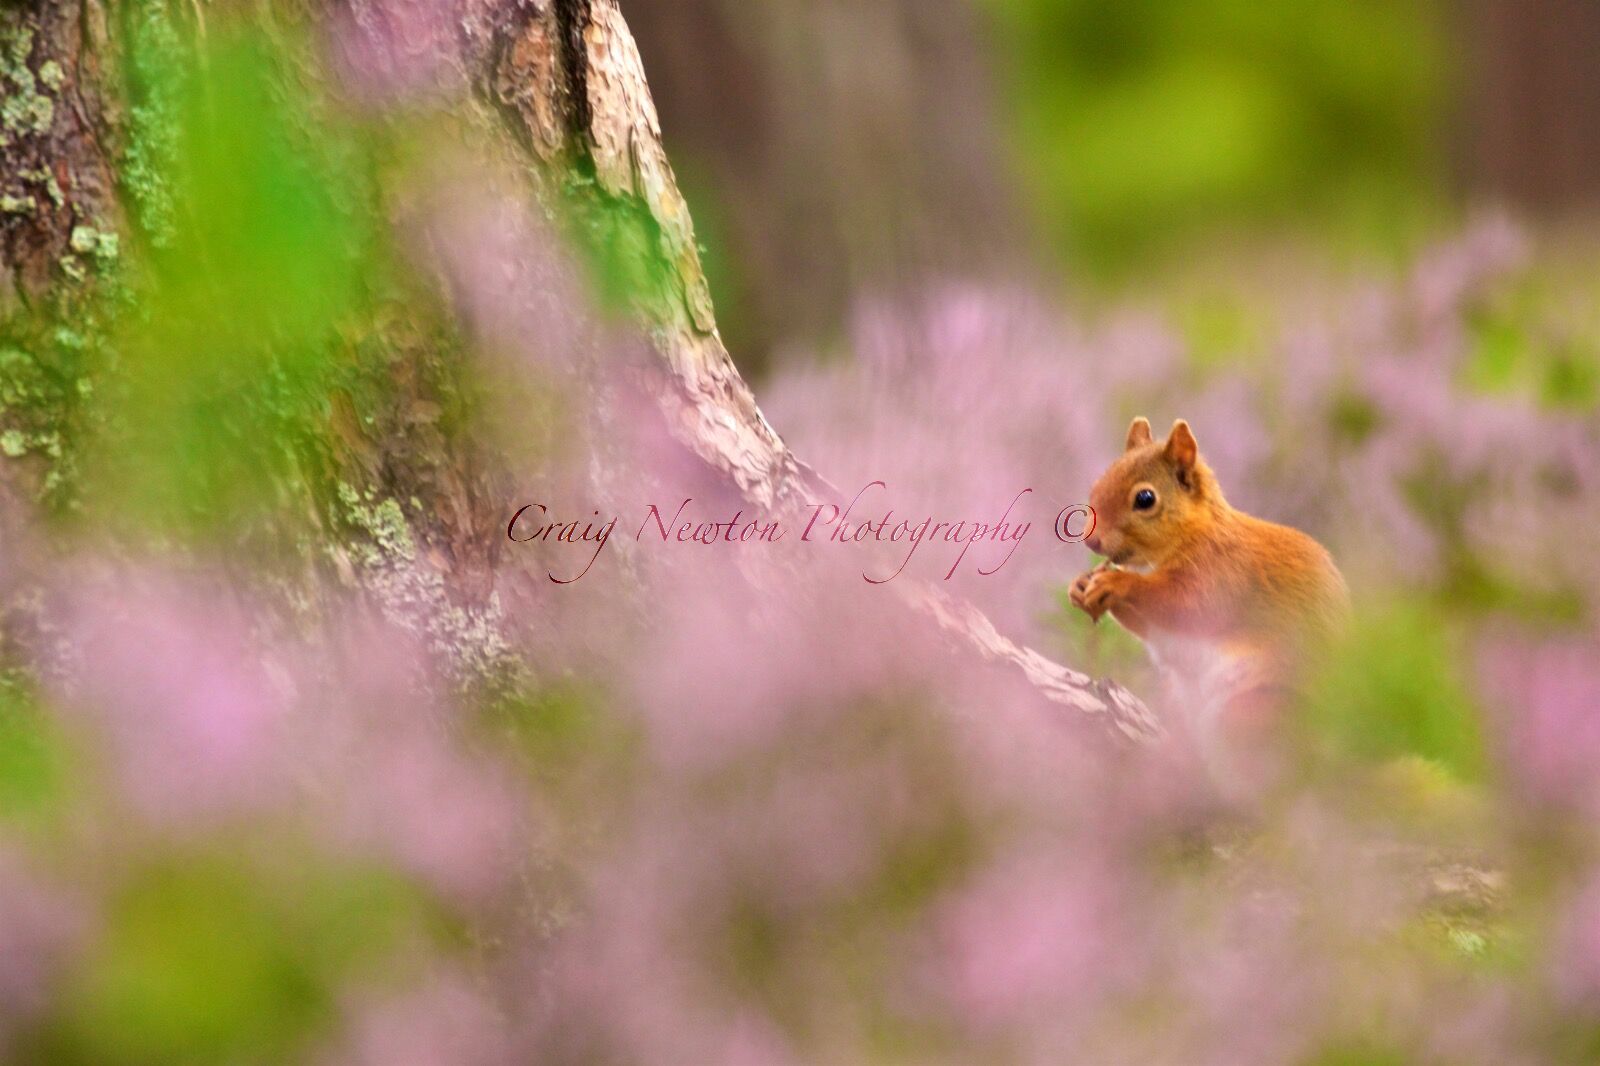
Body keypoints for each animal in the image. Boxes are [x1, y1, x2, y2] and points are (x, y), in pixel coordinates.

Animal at [1069, 417, 1350, 784]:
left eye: (1145, 498)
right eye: (1100, 481)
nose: (1091, 540)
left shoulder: (1220, 576)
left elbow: (1177, 602)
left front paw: (1117, 582)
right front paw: (1080, 586)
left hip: (1251, 716)